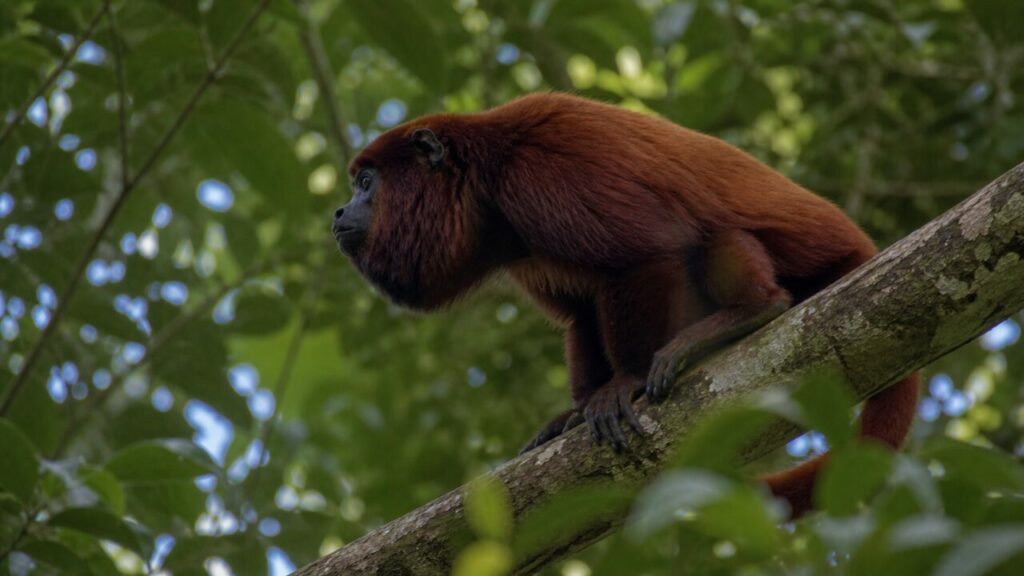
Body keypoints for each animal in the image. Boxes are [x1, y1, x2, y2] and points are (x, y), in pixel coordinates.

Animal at [333, 92, 919, 516]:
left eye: (366, 182)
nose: (338, 211)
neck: (483, 175)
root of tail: (863, 248)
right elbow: (582, 310)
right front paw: (573, 413)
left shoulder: (544, 167)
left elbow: (645, 253)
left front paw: (624, 382)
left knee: (714, 237)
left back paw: (750, 312)